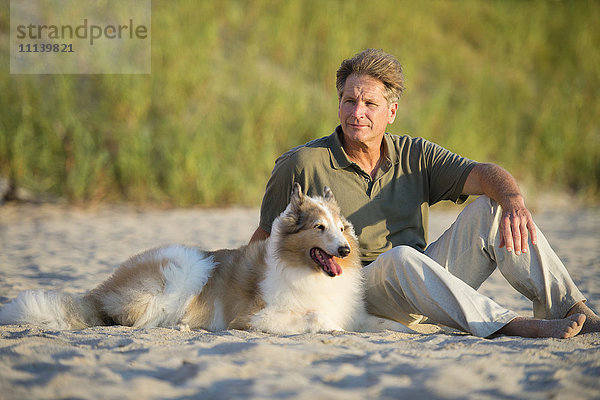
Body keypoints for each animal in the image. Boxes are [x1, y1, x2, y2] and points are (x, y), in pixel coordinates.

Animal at [0, 184, 412, 334]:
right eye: (319, 227)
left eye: (342, 229)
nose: (344, 251)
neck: (307, 272)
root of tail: (99, 292)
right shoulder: (254, 317)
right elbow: (317, 318)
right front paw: (331, 328)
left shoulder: (356, 312)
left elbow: (386, 324)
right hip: (186, 267)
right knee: (134, 319)